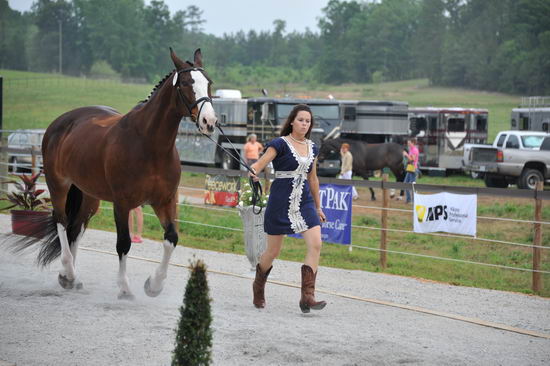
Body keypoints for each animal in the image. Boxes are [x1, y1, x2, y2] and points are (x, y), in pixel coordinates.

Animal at [10, 48, 218, 298]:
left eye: (209, 83)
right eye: (187, 83)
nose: (209, 121)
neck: (150, 145)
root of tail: (60, 123)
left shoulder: (165, 201)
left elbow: (171, 238)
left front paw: (154, 285)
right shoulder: (122, 203)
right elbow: (123, 243)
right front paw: (125, 289)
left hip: (89, 197)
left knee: (76, 228)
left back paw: (70, 278)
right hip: (58, 184)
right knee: (61, 222)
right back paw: (68, 272)